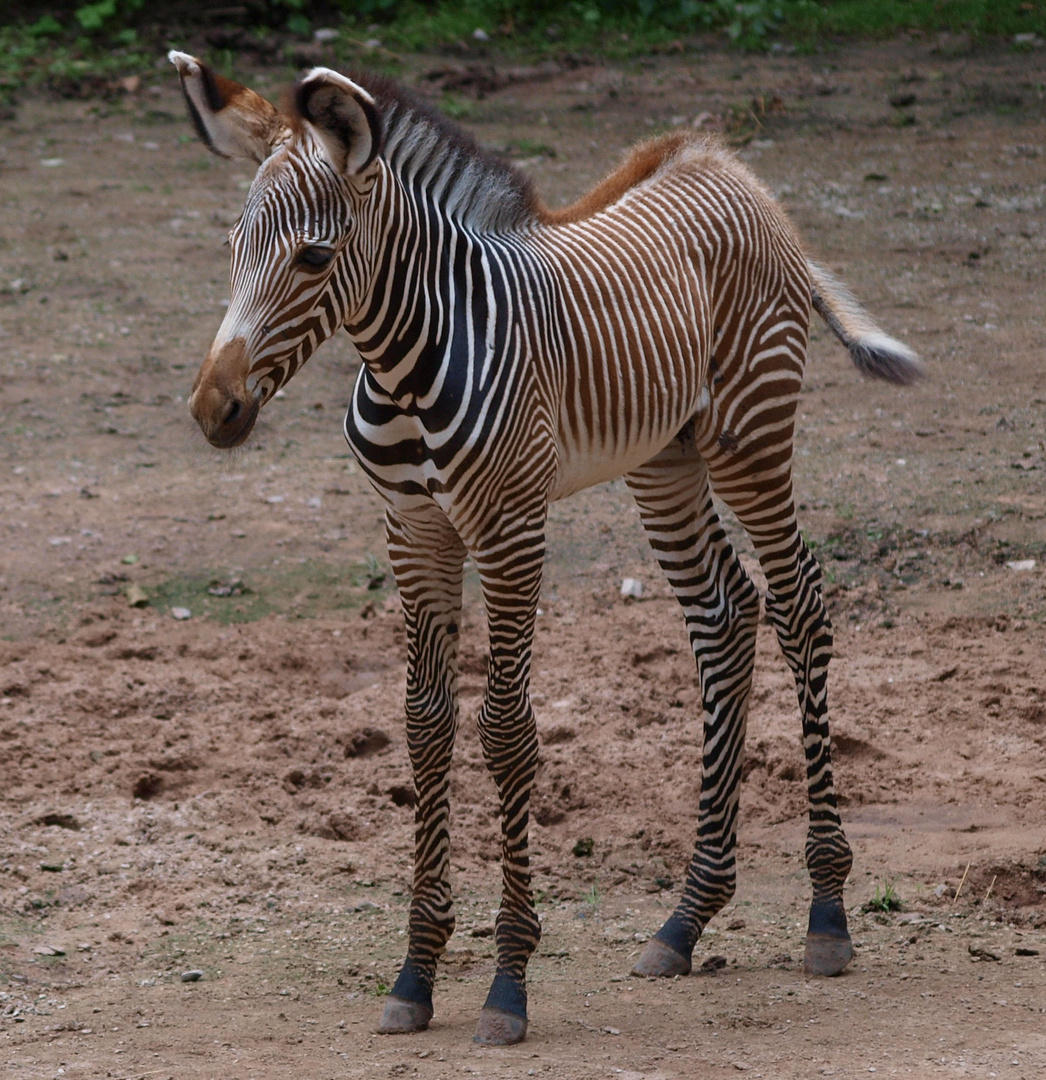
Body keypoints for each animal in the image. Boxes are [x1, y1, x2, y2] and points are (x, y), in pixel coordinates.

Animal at [171, 52, 924, 1045]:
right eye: (231, 250)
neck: (406, 362)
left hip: (752, 434)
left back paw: (827, 913)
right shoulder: (413, 533)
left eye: (314, 258)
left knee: (800, 606)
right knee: (725, 618)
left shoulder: (510, 527)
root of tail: (719, 159)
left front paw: (506, 983)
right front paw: (415, 974)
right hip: (665, 456)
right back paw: (686, 920)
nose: (212, 411)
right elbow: (424, 726)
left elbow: (505, 731)